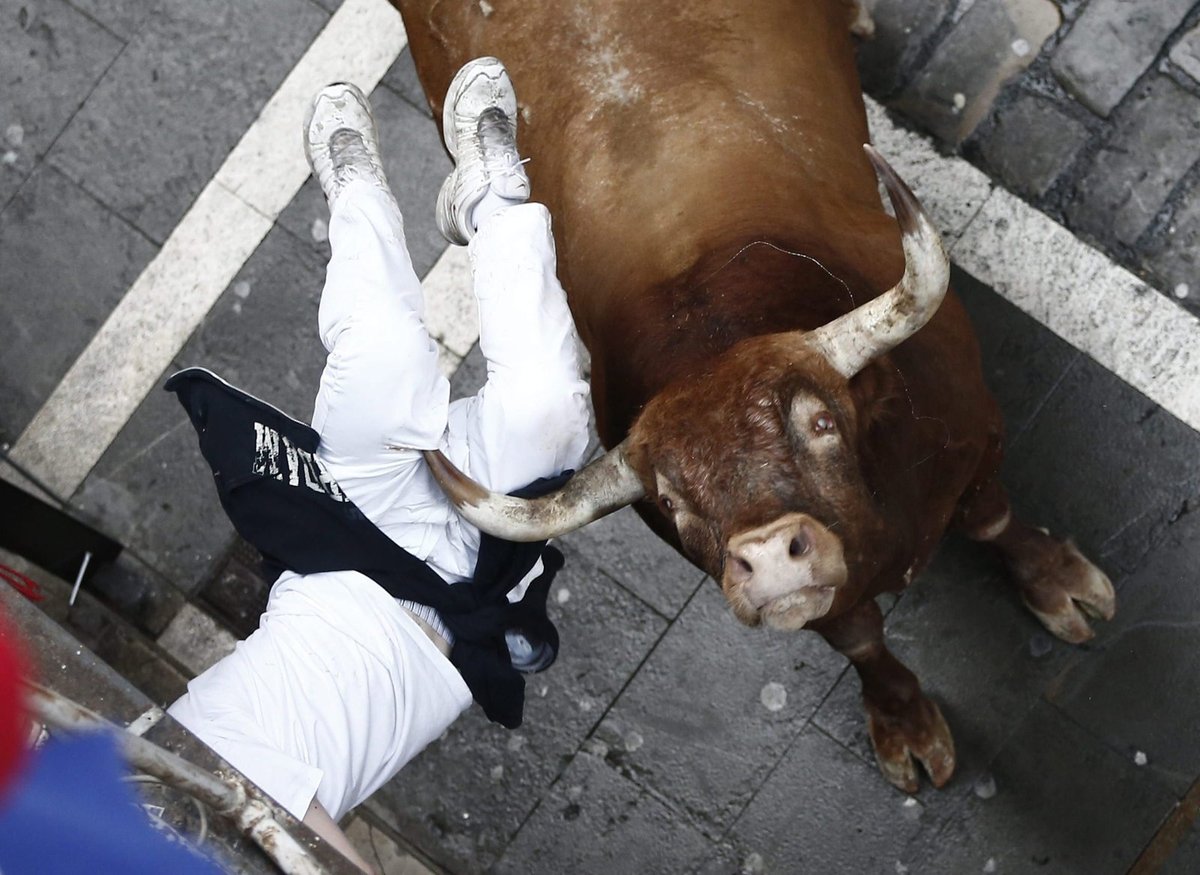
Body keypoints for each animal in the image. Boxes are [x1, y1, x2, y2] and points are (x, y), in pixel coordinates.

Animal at [391, 0, 1113, 792]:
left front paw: (1055, 580)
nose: (767, 558)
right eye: (671, 500)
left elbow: (990, 520)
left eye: (821, 422)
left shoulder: (978, 438)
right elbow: (860, 637)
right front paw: (902, 719)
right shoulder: (826, 604)